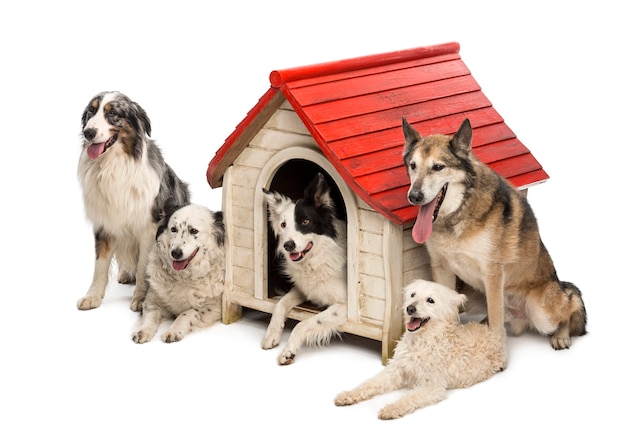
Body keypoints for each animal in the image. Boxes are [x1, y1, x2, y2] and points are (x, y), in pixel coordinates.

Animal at [132, 204, 224, 344]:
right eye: (173, 229)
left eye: (193, 231)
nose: (175, 253)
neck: (183, 277)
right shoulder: (152, 301)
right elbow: (151, 315)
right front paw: (142, 331)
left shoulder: (213, 307)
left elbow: (187, 313)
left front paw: (173, 331)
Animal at [334, 280, 504, 418]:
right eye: (412, 294)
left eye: (430, 300)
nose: (410, 308)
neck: (419, 343)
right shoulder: (394, 370)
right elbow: (369, 383)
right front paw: (348, 395)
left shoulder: (432, 386)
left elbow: (409, 398)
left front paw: (391, 409)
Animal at [400, 117, 584, 352]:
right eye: (413, 166)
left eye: (438, 167)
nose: (414, 196)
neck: (458, 214)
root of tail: (520, 320)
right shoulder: (441, 269)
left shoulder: (492, 274)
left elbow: (497, 321)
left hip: (541, 311)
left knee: (570, 305)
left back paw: (561, 335)